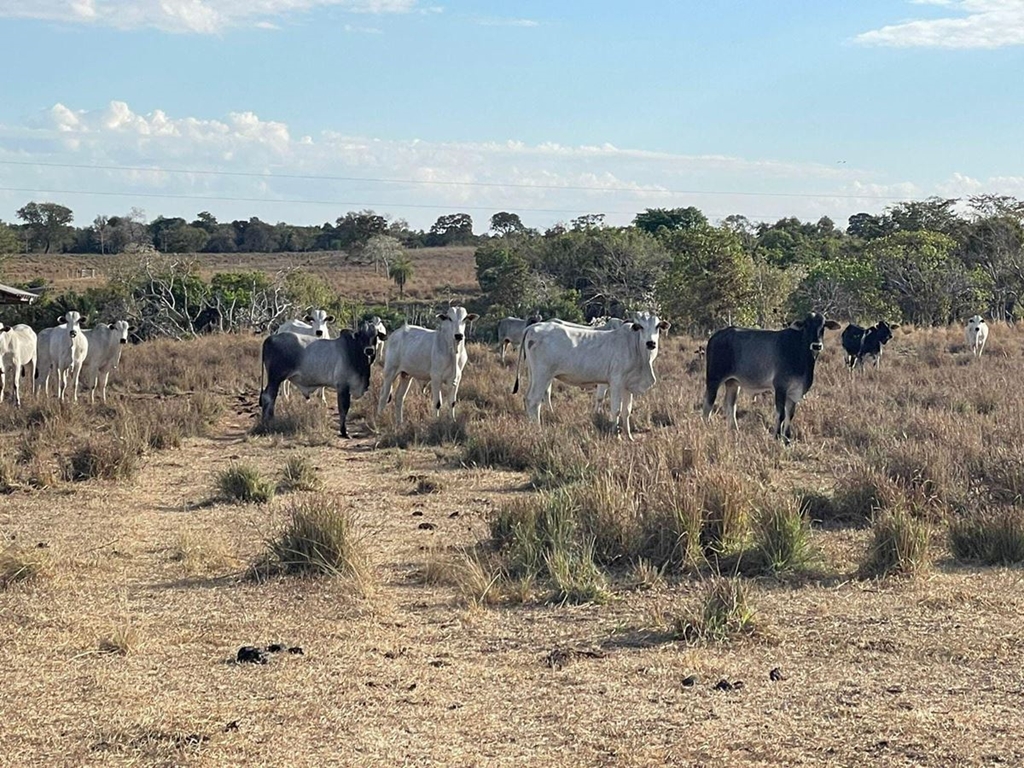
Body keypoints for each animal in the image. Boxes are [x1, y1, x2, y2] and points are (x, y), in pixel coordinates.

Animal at [512, 313, 671, 442]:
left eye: (657, 326)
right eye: (640, 327)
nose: (651, 343)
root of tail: (533, 326)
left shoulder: (628, 386)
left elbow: (627, 411)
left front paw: (629, 437)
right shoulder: (616, 382)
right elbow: (616, 410)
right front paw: (617, 436)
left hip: (534, 375)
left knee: (528, 398)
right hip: (542, 375)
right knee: (534, 401)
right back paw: (537, 431)